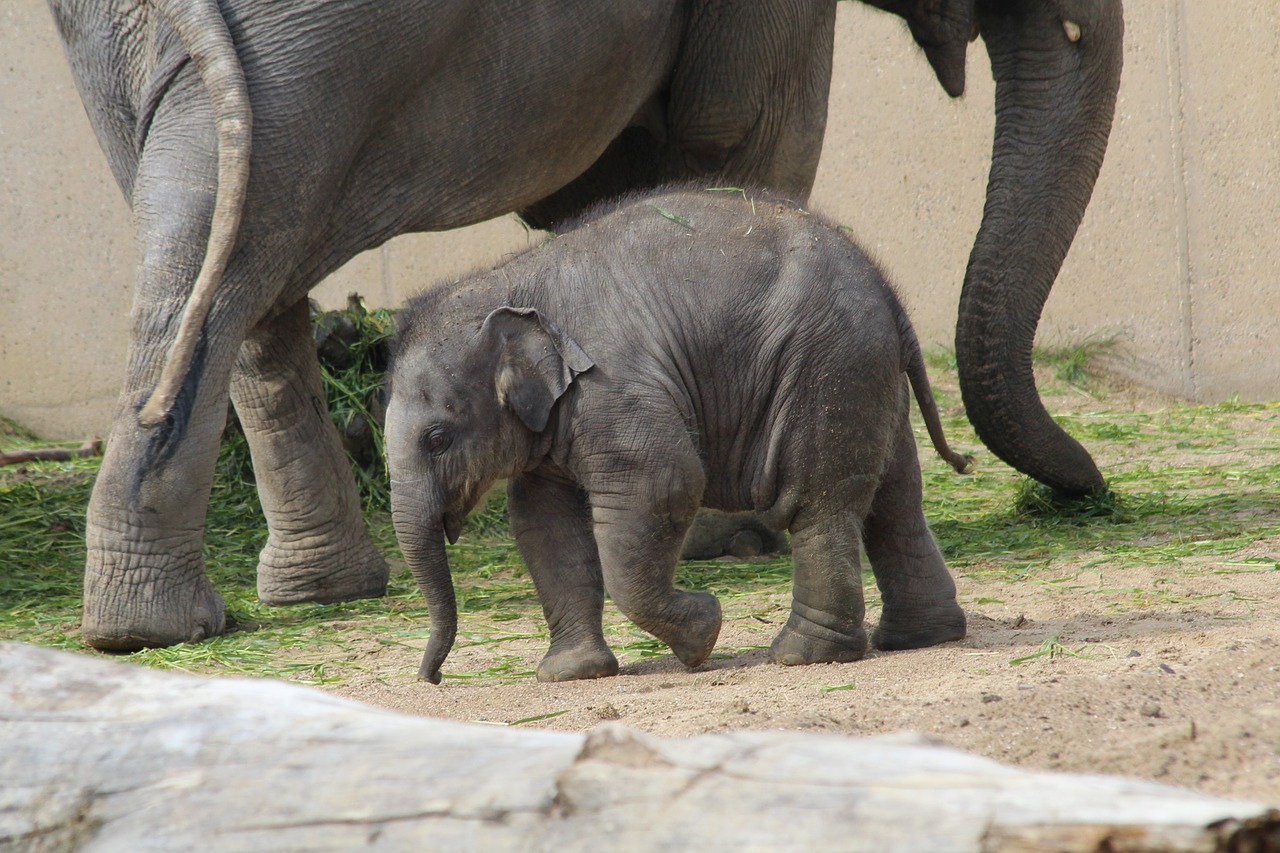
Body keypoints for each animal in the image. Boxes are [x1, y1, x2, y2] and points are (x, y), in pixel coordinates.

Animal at [389, 188, 967, 686]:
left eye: (437, 439)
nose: (430, 679)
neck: (507, 279)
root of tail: (890, 294)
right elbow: (542, 523)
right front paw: (569, 674)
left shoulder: (612, 386)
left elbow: (664, 483)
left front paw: (704, 635)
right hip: (866, 374)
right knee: (895, 500)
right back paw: (921, 638)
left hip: (825, 365)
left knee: (814, 503)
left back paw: (802, 656)